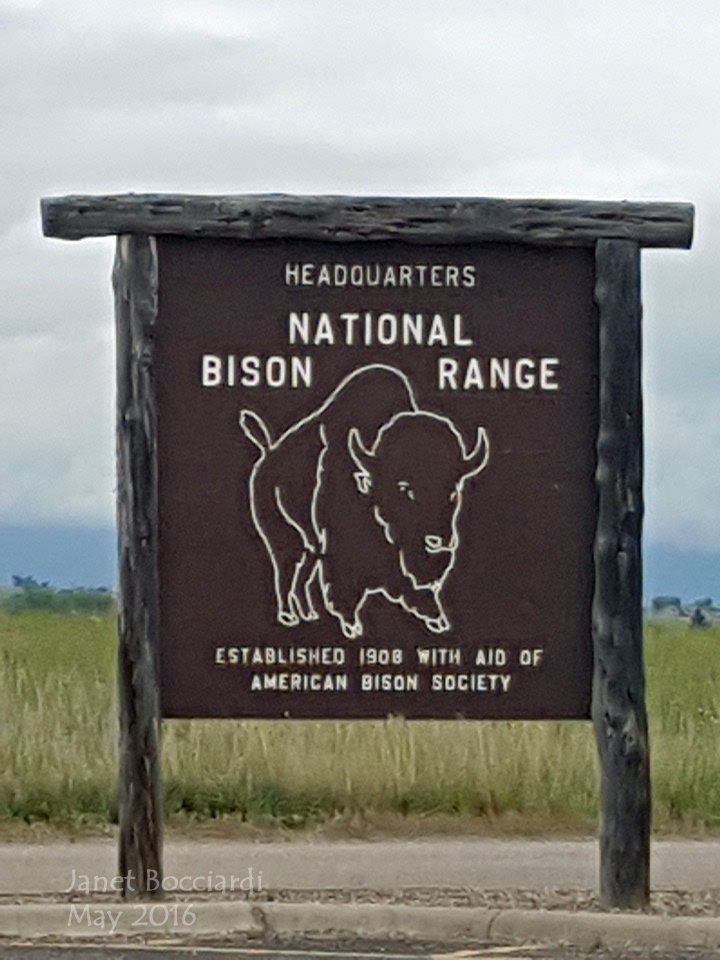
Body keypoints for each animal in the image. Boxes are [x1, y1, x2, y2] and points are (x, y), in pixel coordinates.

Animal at [242, 364, 490, 640]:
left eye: (454, 492)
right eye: (403, 488)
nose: (438, 541)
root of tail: (267, 455)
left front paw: (439, 620)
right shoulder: (341, 560)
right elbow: (344, 593)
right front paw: (353, 628)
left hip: (310, 547)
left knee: (302, 579)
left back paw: (308, 614)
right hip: (285, 542)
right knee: (285, 575)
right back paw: (289, 616)